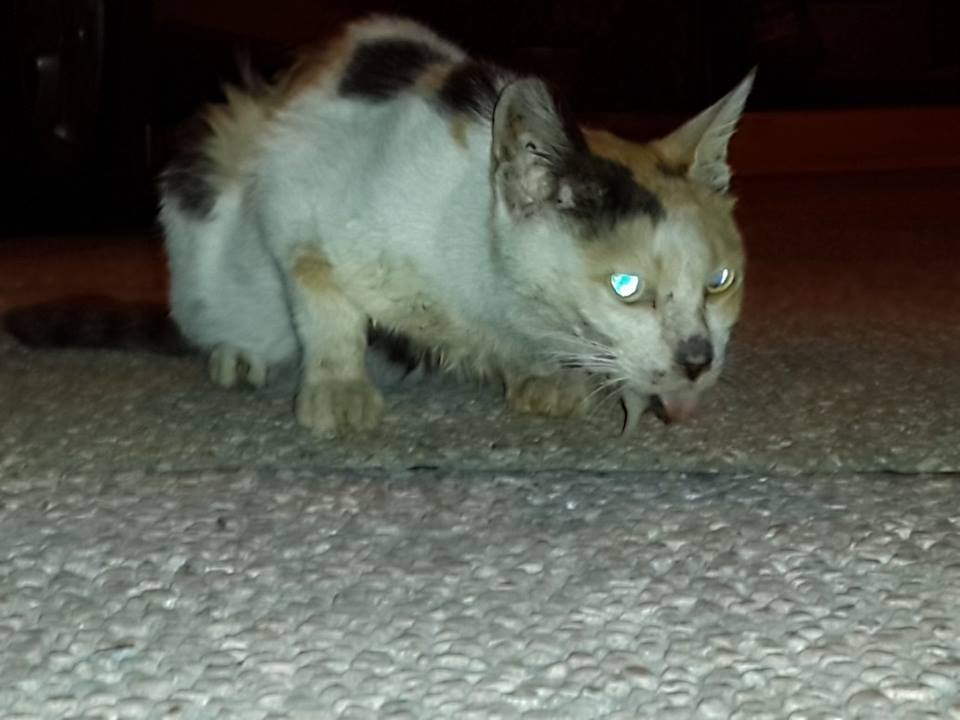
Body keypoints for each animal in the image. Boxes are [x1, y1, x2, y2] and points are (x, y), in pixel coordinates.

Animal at [158, 15, 753, 435]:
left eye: (720, 283)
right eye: (627, 287)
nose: (697, 360)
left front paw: (541, 375)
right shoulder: (295, 195)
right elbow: (325, 301)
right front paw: (337, 388)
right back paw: (238, 355)